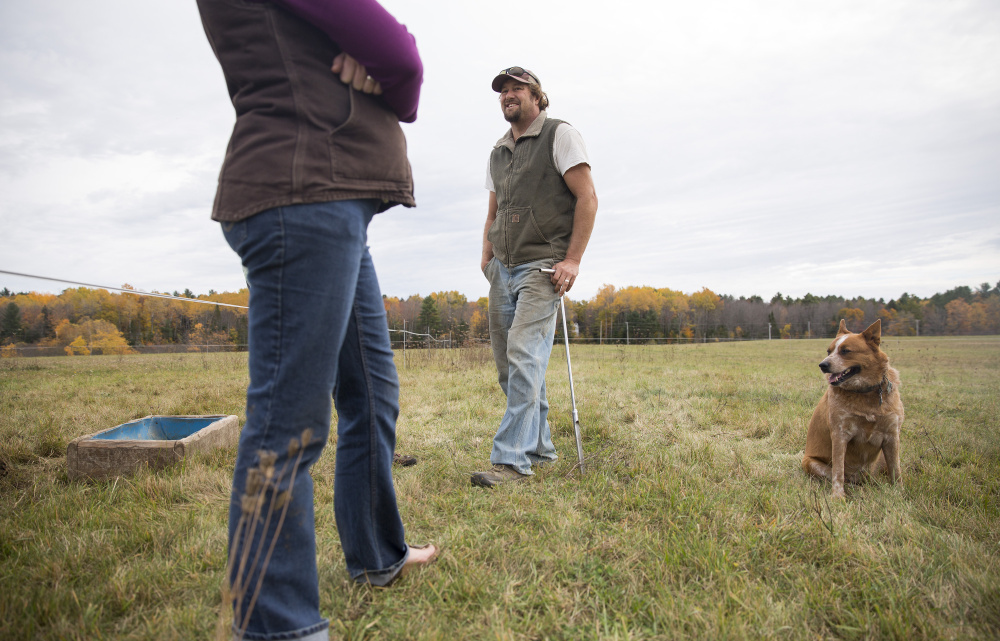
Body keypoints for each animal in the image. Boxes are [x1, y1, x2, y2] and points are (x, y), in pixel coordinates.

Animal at [800, 318, 904, 496]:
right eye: (829, 351)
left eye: (845, 351)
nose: (823, 365)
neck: (865, 393)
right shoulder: (840, 434)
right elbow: (838, 472)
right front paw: (838, 497)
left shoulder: (892, 435)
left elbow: (895, 470)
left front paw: (900, 493)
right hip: (810, 462)